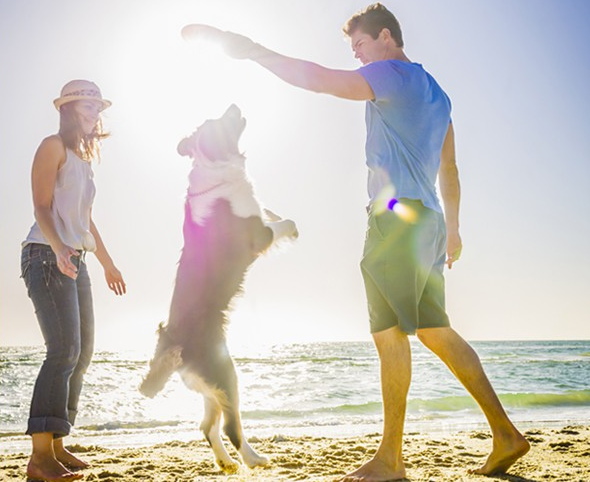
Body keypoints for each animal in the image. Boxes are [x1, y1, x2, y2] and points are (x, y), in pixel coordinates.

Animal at [140, 104, 298, 470]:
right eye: (217, 122)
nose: (234, 106)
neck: (216, 170)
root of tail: (175, 343)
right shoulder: (257, 236)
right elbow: (282, 223)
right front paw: (293, 229)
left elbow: (269, 210)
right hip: (227, 373)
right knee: (229, 426)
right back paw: (254, 459)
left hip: (210, 387)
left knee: (207, 426)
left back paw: (227, 462)